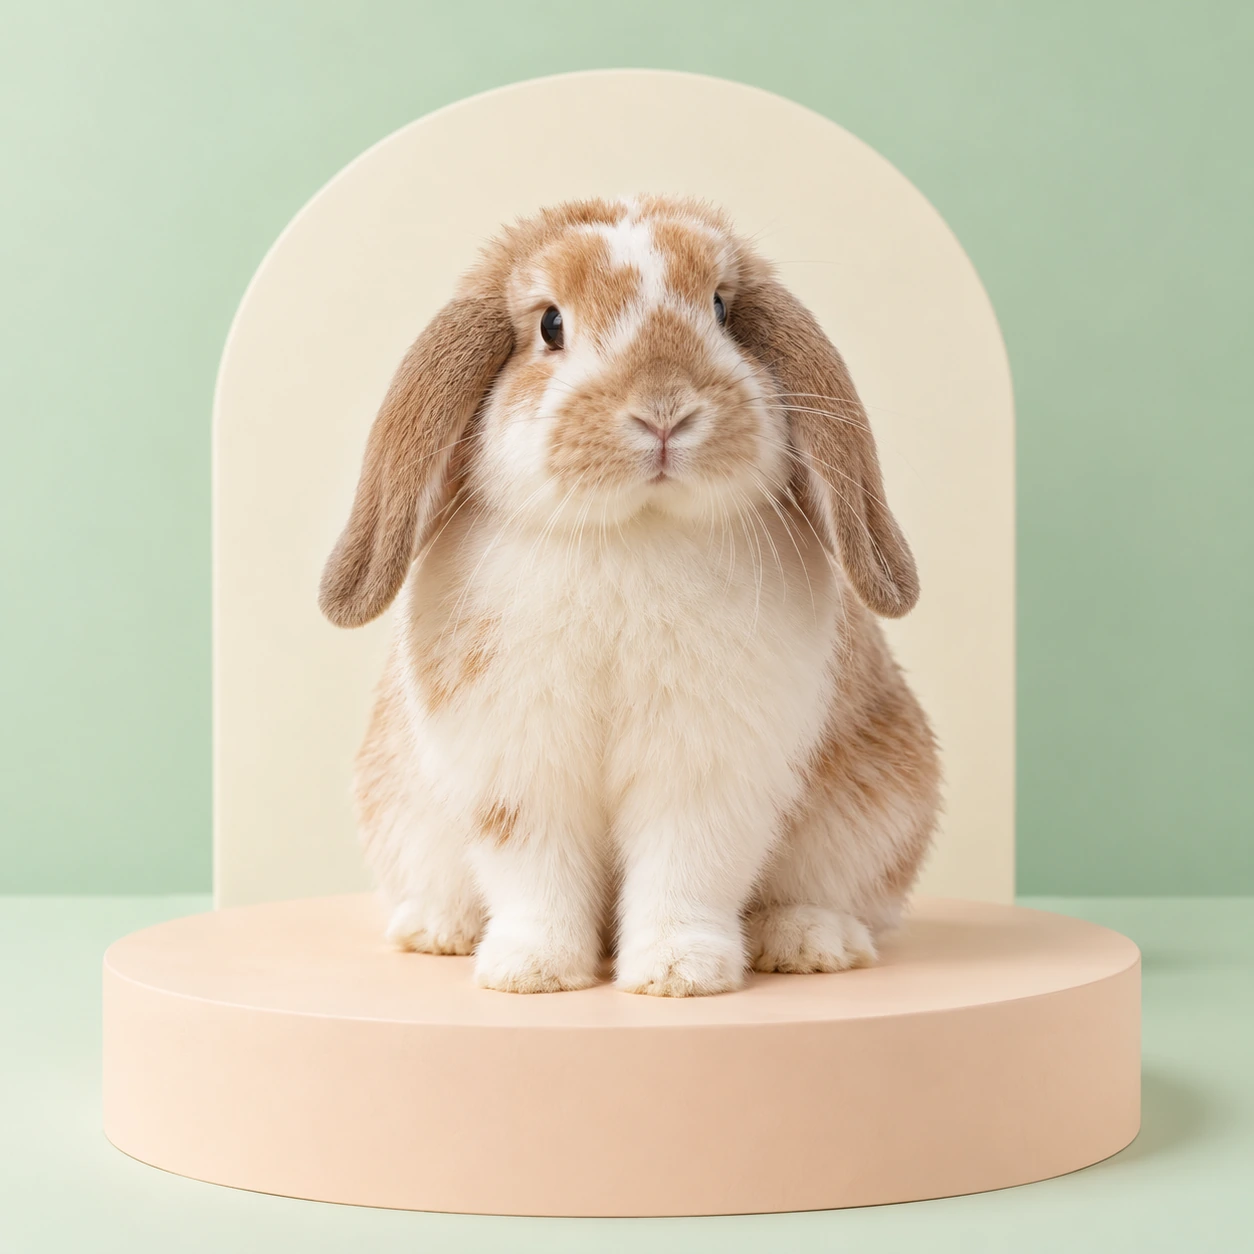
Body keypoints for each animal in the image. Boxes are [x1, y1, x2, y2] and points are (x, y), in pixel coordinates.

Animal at [319, 195, 940, 996]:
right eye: (551, 324)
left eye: (720, 308)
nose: (664, 409)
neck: (630, 532)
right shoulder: (517, 770)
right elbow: (535, 875)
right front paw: (532, 971)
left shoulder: (706, 770)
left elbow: (686, 868)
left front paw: (679, 973)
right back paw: (437, 929)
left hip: (879, 817)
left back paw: (808, 941)